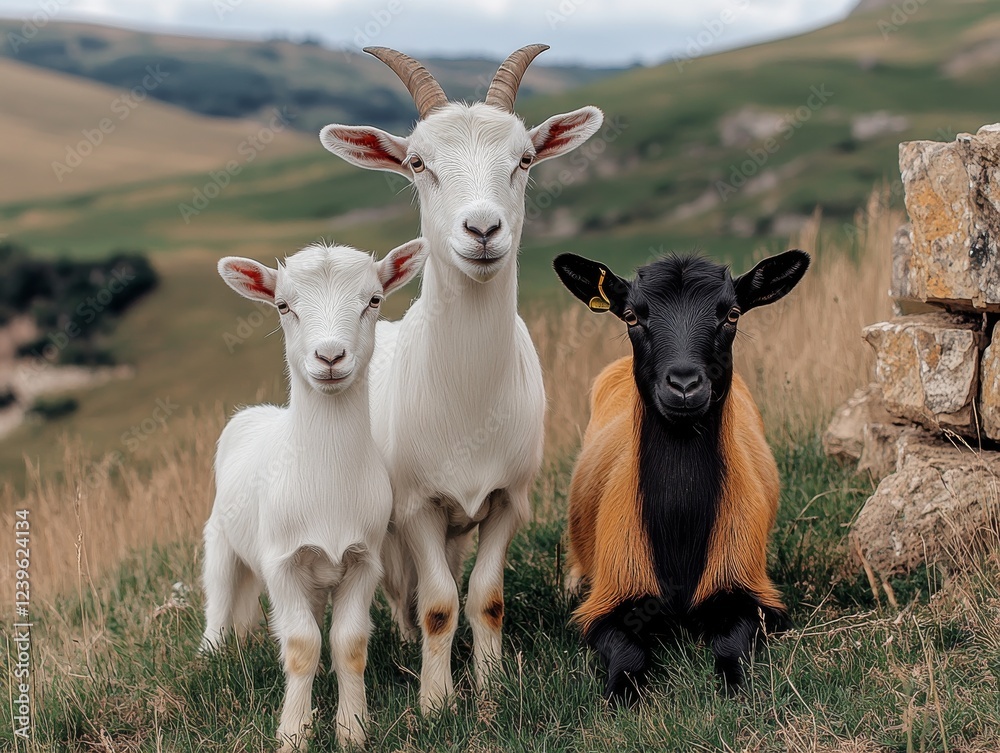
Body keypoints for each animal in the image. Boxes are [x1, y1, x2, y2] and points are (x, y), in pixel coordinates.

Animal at [201, 238, 427, 749]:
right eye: (284, 306)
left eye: (374, 300)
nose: (329, 356)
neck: (327, 480)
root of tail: (256, 412)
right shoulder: (280, 562)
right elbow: (301, 645)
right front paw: (293, 734)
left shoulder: (364, 558)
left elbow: (349, 644)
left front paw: (352, 729)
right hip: (221, 541)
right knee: (218, 603)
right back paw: (207, 659)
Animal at [319, 46, 604, 712]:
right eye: (418, 163)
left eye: (524, 159)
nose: (482, 230)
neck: (469, 399)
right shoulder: (416, 506)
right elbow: (440, 606)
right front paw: (436, 701)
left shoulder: (508, 500)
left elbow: (484, 598)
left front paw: (494, 688)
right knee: (405, 592)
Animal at [552, 249, 809, 703]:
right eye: (632, 316)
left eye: (732, 314)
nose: (685, 384)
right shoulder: (608, 597)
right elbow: (628, 652)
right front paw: (621, 695)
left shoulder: (751, 588)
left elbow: (730, 643)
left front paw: (733, 686)